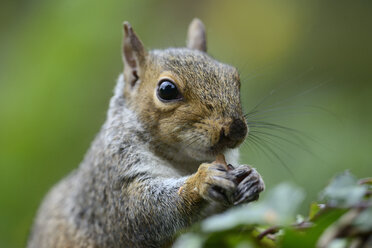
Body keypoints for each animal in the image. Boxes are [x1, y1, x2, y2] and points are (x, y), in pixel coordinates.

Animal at [28, 17, 264, 248]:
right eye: (166, 90)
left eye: (234, 77)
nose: (236, 129)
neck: (184, 161)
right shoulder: (111, 183)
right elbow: (141, 211)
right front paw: (202, 180)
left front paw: (252, 179)